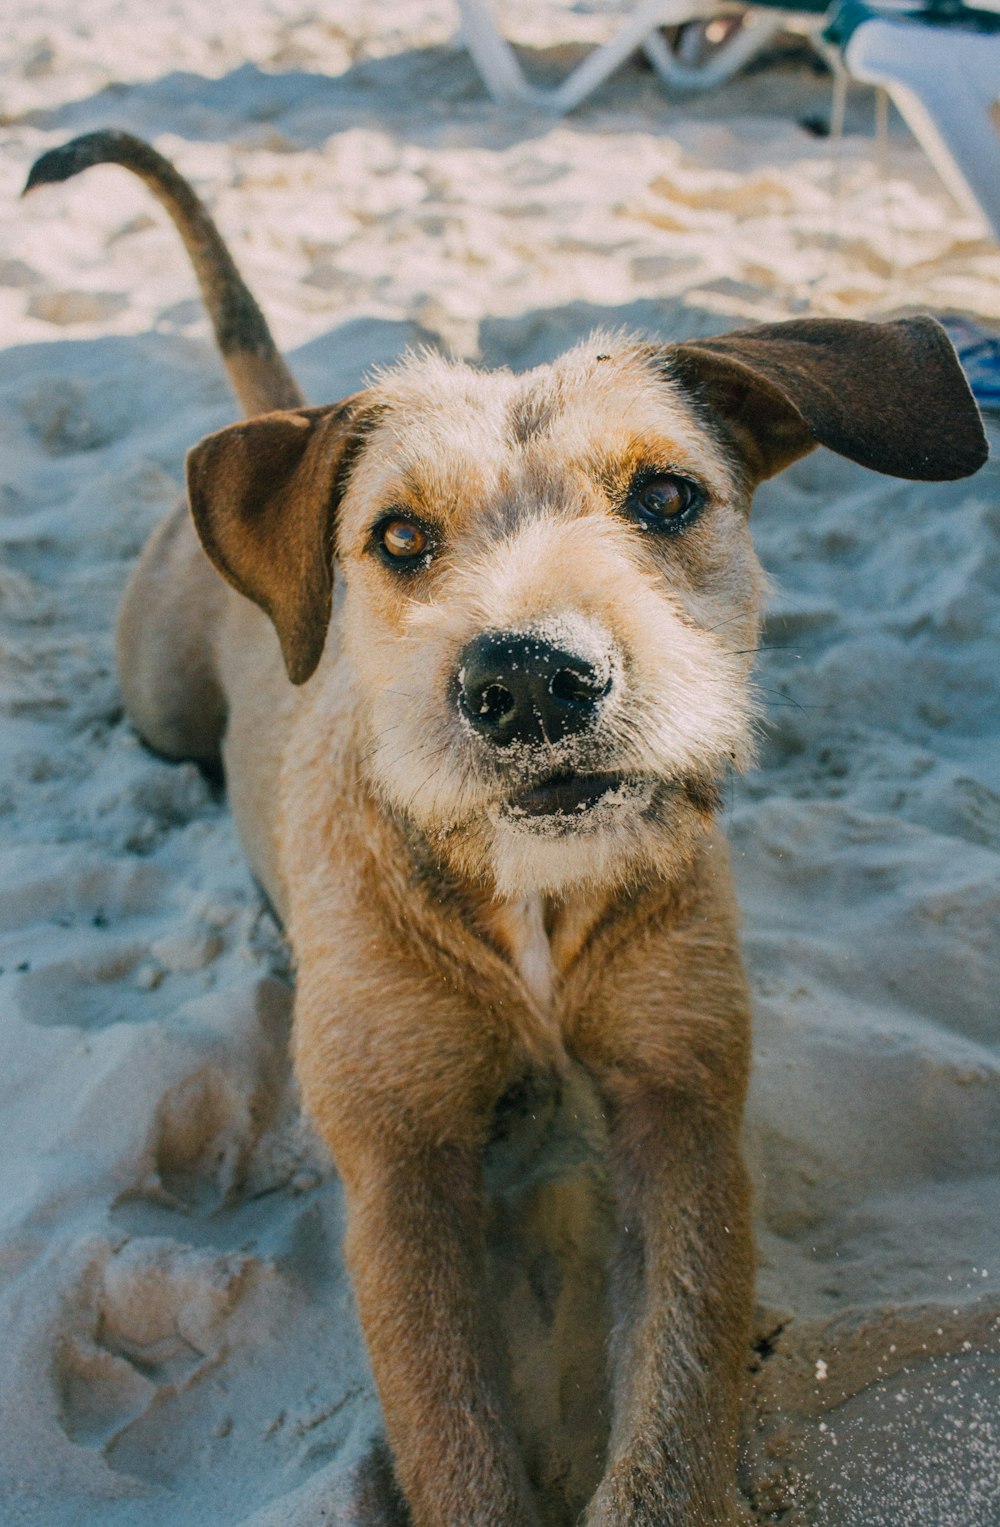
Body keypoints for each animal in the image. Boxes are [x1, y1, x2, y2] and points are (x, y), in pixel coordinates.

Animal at [23, 131, 983, 1527]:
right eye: (398, 536)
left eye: (665, 496)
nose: (529, 680)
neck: (528, 887)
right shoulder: (401, 1169)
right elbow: (450, 1430)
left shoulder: (682, 1113)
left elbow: (677, 1396)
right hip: (154, 700)